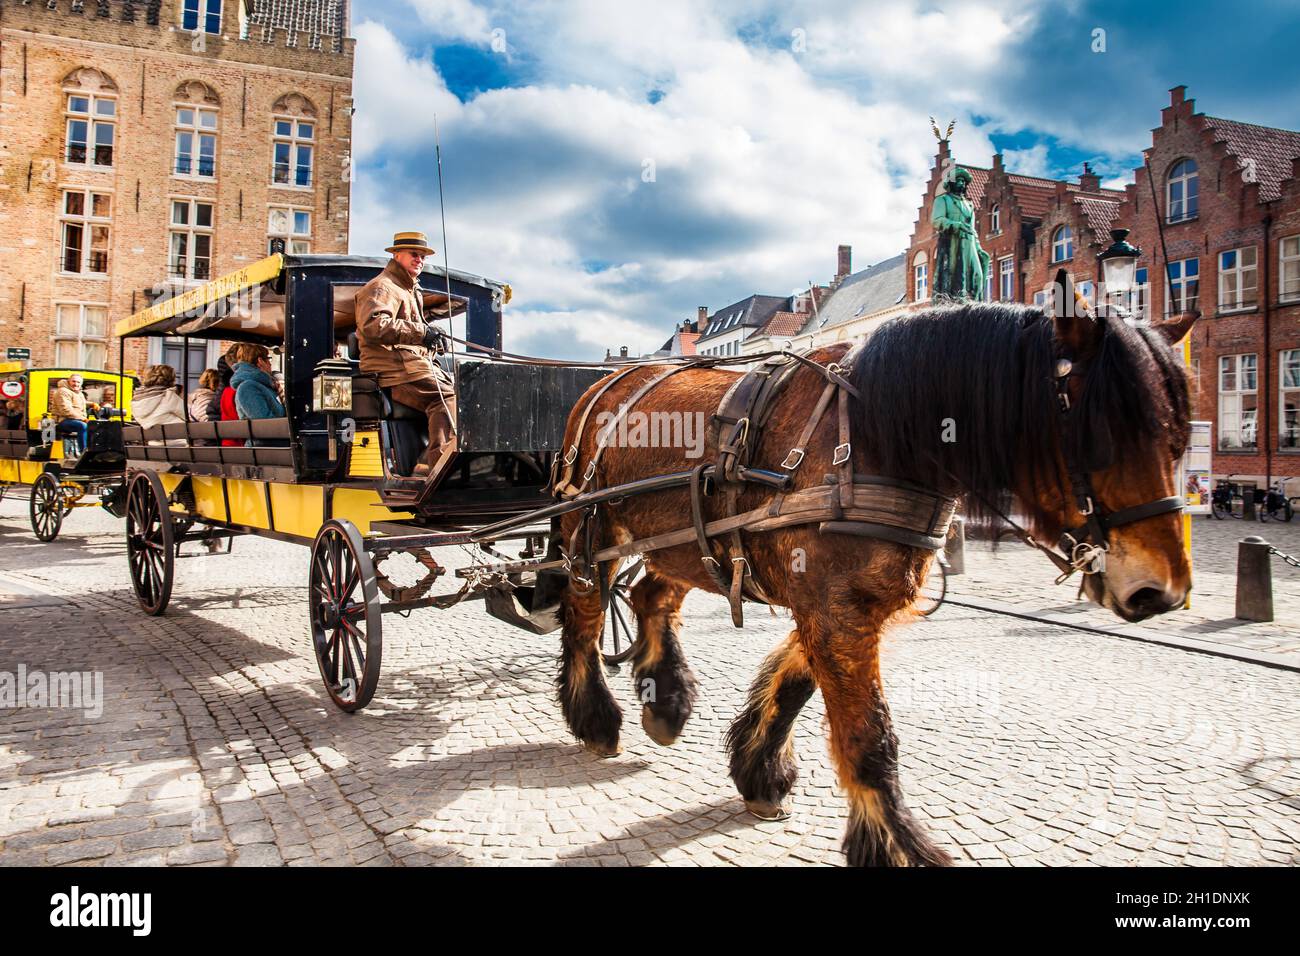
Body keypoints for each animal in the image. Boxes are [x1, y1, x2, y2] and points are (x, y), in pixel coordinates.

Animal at [553, 282, 1190, 868]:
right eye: (1100, 433)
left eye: (1180, 438)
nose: (1163, 591)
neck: (873, 437)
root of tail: (601, 385)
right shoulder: (835, 609)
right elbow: (869, 736)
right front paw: (898, 847)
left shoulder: (843, 604)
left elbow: (794, 683)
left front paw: (759, 771)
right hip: (592, 534)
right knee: (585, 615)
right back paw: (596, 720)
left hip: (684, 544)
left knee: (649, 597)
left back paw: (665, 702)